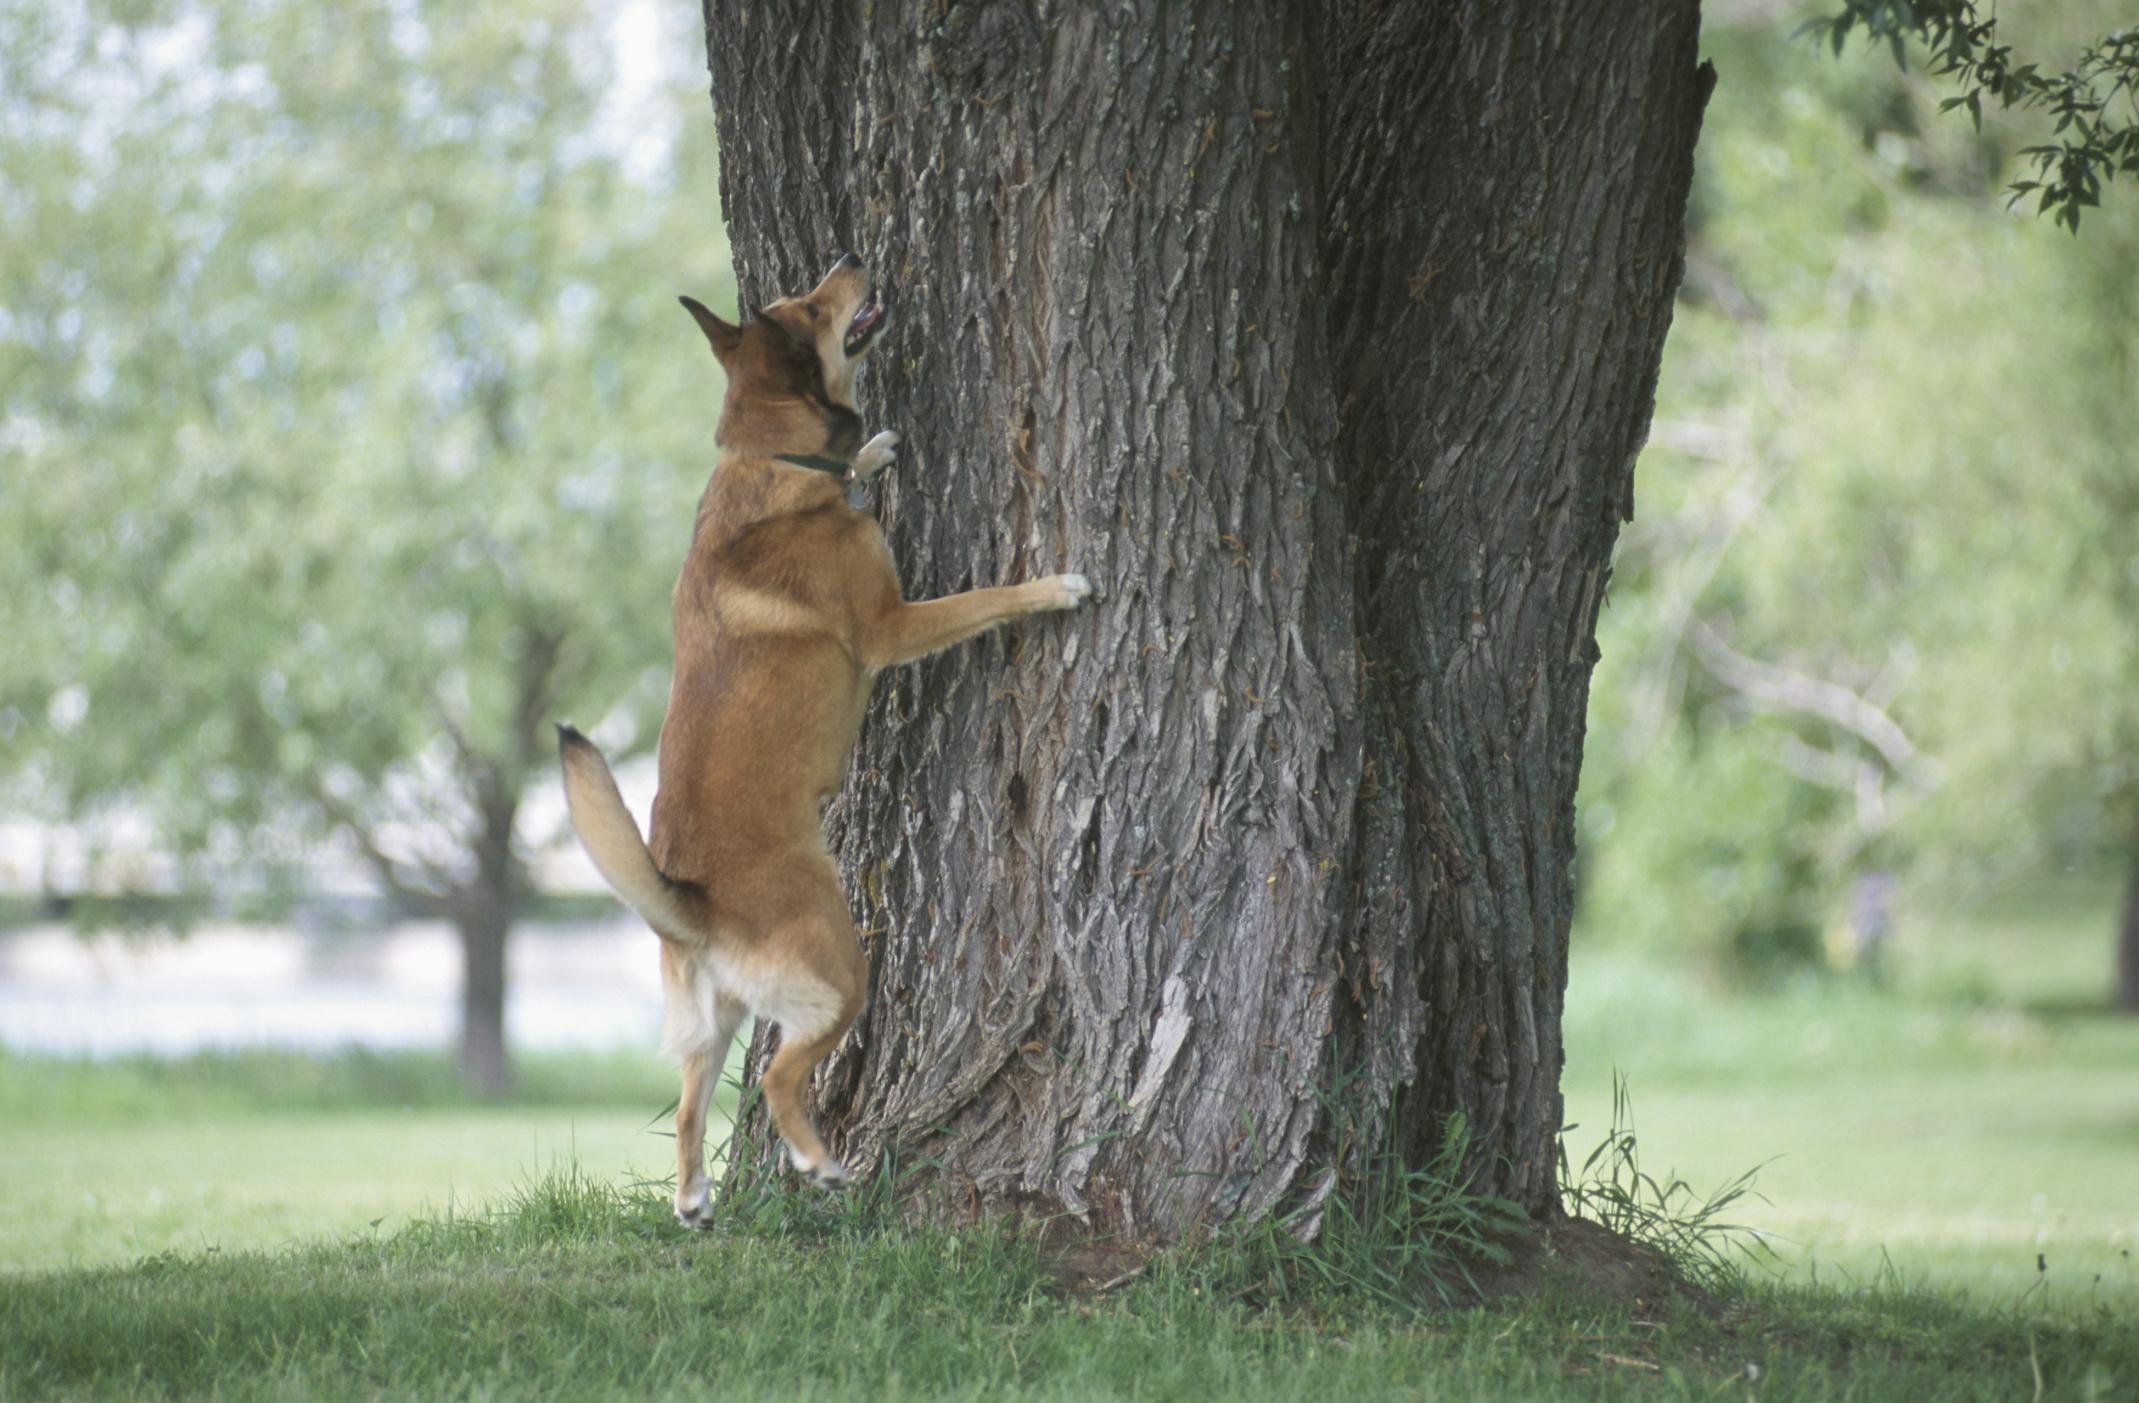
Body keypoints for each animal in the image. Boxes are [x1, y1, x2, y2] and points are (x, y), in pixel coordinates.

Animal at [556, 254, 1086, 1231]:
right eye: (810, 305)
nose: (850, 260)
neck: (770, 463)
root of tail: (692, 903)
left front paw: (872, 451)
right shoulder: (890, 625)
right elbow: (984, 599)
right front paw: (1054, 587)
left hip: (709, 1021)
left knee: (690, 1102)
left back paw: (694, 1199)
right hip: (842, 972)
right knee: (775, 1076)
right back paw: (820, 1164)